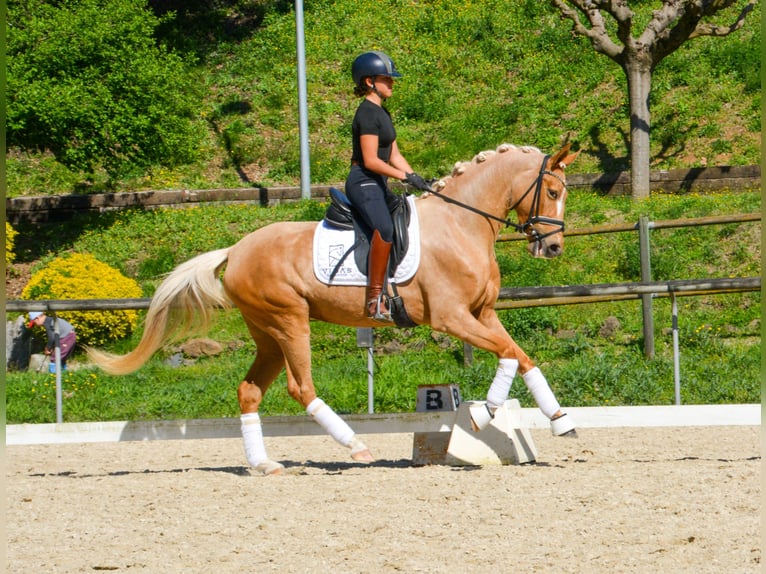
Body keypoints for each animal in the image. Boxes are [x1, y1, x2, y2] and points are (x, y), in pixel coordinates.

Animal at [89, 142, 580, 475]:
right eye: (553, 190)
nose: (554, 247)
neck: (461, 223)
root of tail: (236, 249)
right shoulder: (452, 318)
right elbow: (507, 355)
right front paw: (482, 413)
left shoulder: (482, 315)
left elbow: (522, 357)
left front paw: (559, 420)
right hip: (290, 321)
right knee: (300, 387)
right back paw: (356, 446)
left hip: (267, 333)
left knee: (250, 391)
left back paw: (264, 464)